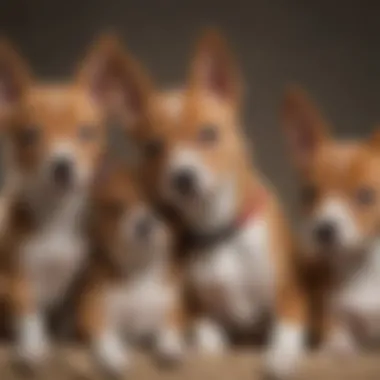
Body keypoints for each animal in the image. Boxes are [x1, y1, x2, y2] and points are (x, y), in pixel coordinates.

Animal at [0, 39, 119, 368]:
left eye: (87, 133)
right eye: (30, 136)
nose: (62, 165)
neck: (57, 216)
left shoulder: (82, 282)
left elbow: (82, 315)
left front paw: (99, 347)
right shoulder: (13, 280)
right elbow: (29, 311)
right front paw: (32, 346)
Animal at [88, 31, 308, 378]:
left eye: (208, 134)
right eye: (153, 147)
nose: (183, 177)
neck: (221, 230)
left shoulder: (291, 297)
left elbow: (285, 330)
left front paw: (281, 357)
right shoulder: (203, 312)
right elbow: (208, 339)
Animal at [282, 85, 380, 354]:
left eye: (365, 196)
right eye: (309, 193)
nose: (324, 229)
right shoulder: (334, 321)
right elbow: (337, 340)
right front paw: (338, 348)